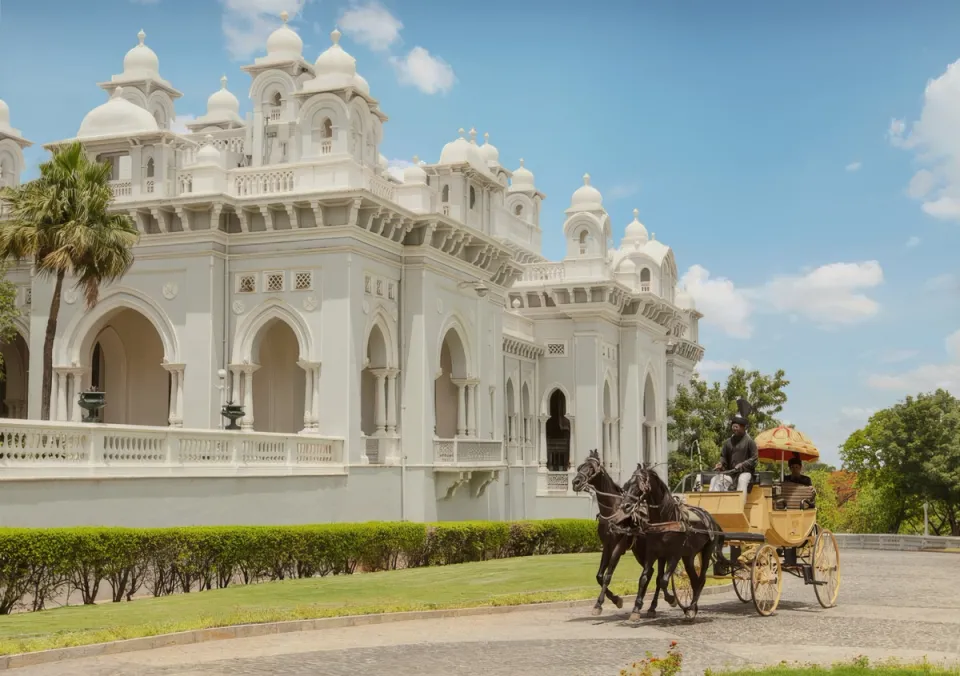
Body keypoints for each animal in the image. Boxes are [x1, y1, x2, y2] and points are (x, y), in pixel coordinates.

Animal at [568, 452, 676, 616]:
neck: (613, 511)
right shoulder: (607, 546)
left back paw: (658, 603)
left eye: (591, 468)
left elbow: (607, 576)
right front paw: (615, 599)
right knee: (650, 572)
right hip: (640, 551)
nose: (576, 482)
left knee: (658, 576)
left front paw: (599, 604)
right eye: (580, 467)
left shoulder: (619, 546)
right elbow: (600, 576)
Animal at [612, 464, 724, 616]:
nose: (625, 506)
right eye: (627, 484)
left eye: (639, 485)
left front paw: (671, 599)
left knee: (701, 579)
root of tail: (711, 519)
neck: (665, 520)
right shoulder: (653, 553)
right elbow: (645, 578)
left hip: (706, 551)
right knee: (694, 580)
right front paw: (636, 609)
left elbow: (663, 580)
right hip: (688, 556)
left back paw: (692, 606)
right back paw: (691, 607)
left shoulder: (674, 555)